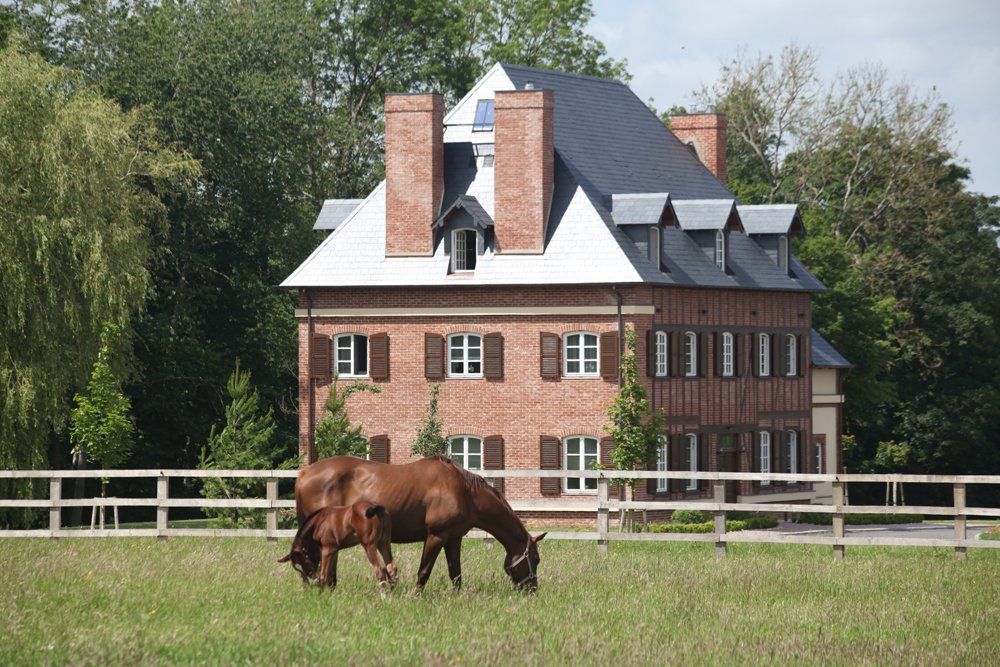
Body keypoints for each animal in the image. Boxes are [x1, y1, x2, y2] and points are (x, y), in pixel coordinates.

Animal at [294, 456, 546, 591]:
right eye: (535, 559)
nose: (532, 589)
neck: (464, 491)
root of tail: (305, 472)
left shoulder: (453, 538)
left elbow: (456, 574)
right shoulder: (436, 535)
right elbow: (424, 571)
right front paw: (415, 597)